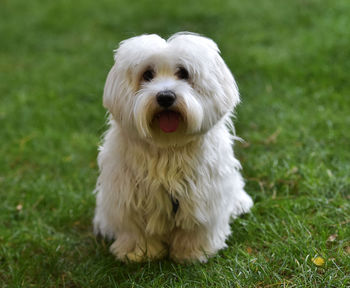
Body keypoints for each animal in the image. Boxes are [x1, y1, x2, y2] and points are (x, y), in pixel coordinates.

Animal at [92, 32, 252, 262]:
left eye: (183, 73)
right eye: (147, 74)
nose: (165, 96)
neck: (168, 148)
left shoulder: (203, 196)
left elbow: (195, 228)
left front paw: (193, 253)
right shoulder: (130, 197)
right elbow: (136, 230)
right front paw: (138, 253)